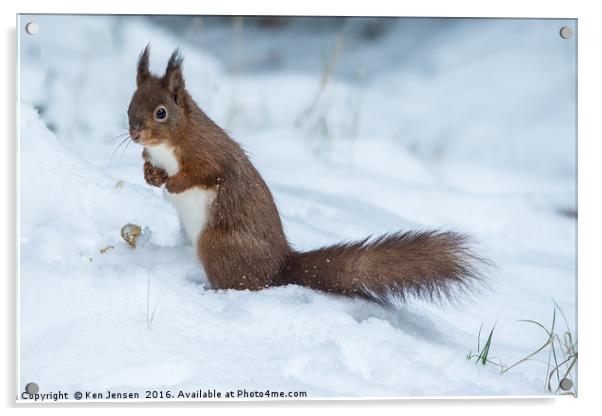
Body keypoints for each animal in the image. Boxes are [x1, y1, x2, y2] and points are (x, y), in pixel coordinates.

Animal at [126, 47, 482, 306]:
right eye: (130, 107)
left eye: (161, 112)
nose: (135, 134)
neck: (168, 146)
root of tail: (280, 266)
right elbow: (150, 167)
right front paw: (151, 176)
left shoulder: (209, 154)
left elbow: (206, 174)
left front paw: (173, 183)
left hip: (218, 243)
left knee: (243, 284)